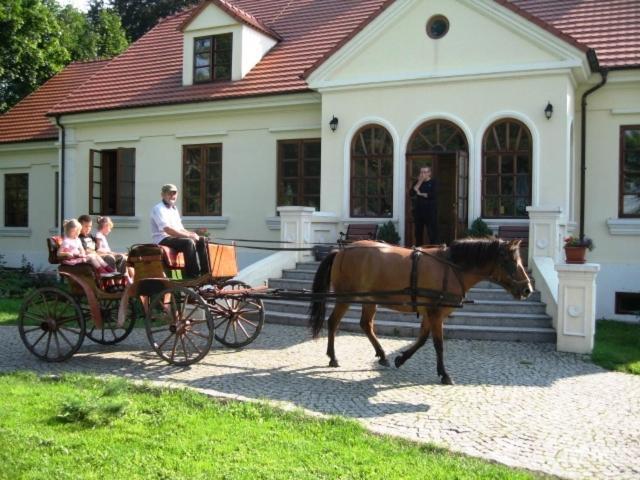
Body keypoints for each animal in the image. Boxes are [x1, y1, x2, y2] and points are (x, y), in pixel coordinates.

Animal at [310, 238, 536, 384]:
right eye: (510, 262)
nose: (527, 289)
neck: (451, 268)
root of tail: (340, 251)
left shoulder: (430, 313)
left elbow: (422, 340)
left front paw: (401, 358)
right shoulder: (436, 313)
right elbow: (438, 344)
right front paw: (444, 374)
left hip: (369, 299)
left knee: (366, 325)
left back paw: (382, 355)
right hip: (344, 298)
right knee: (333, 322)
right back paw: (333, 357)